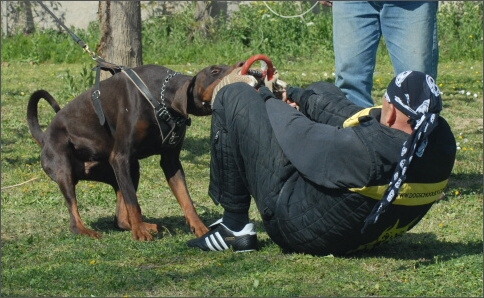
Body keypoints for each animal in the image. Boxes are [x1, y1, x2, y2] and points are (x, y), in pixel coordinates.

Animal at [26, 61, 242, 241]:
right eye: (215, 71)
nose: (243, 64)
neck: (160, 99)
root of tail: (43, 137)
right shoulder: (120, 157)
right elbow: (133, 203)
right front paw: (139, 233)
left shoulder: (170, 161)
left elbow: (186, 200)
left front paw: (200, 228)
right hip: (65, 170)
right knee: (74, 214)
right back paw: (91, 230)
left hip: (128, 169)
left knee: (120, 218)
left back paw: (145, 225)